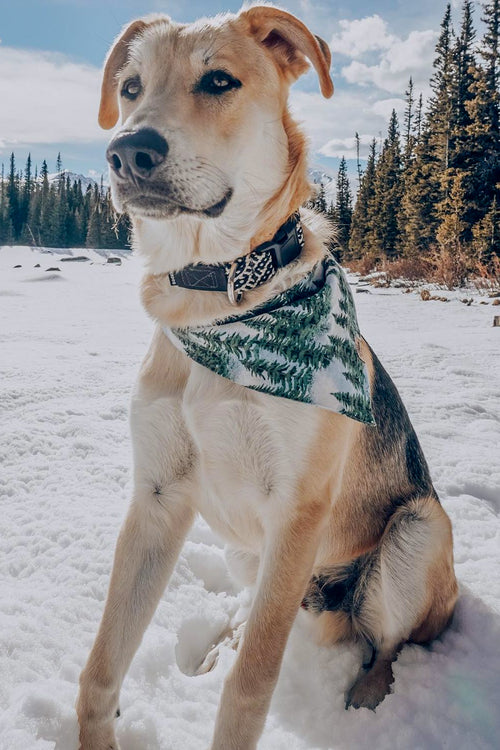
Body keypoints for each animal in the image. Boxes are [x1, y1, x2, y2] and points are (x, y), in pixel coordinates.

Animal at [77, 7, 458, 750]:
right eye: (131, 88)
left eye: (219, 81)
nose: (128, 151)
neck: (219, 303)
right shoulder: (157, 497)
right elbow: (102, 667)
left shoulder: (297, 509)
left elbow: (251, 686)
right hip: (250, 556)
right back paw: (223, 641)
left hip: (416, 532)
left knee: (387, 643)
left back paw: (369, 695)